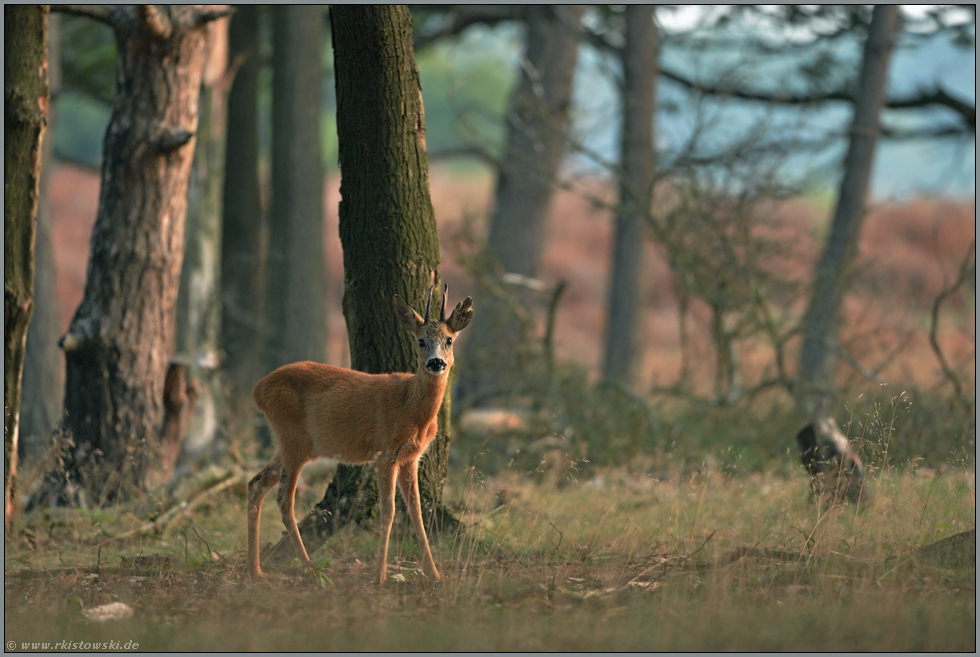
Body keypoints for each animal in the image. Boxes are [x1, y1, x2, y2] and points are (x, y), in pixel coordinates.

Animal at [247, 284, 472, 580]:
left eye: (449, 340)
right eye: (421, 341)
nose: (436, 363)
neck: (410, 407)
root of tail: (258, 390)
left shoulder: (410, 457)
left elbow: (417, 511)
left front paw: (434, 574)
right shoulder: (384, 454)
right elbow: (389, 512)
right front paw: (380, 575)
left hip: (290, 443)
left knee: (256, 484)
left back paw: (255, 570)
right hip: (292, 438)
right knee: (284, 500)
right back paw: (310, 568)